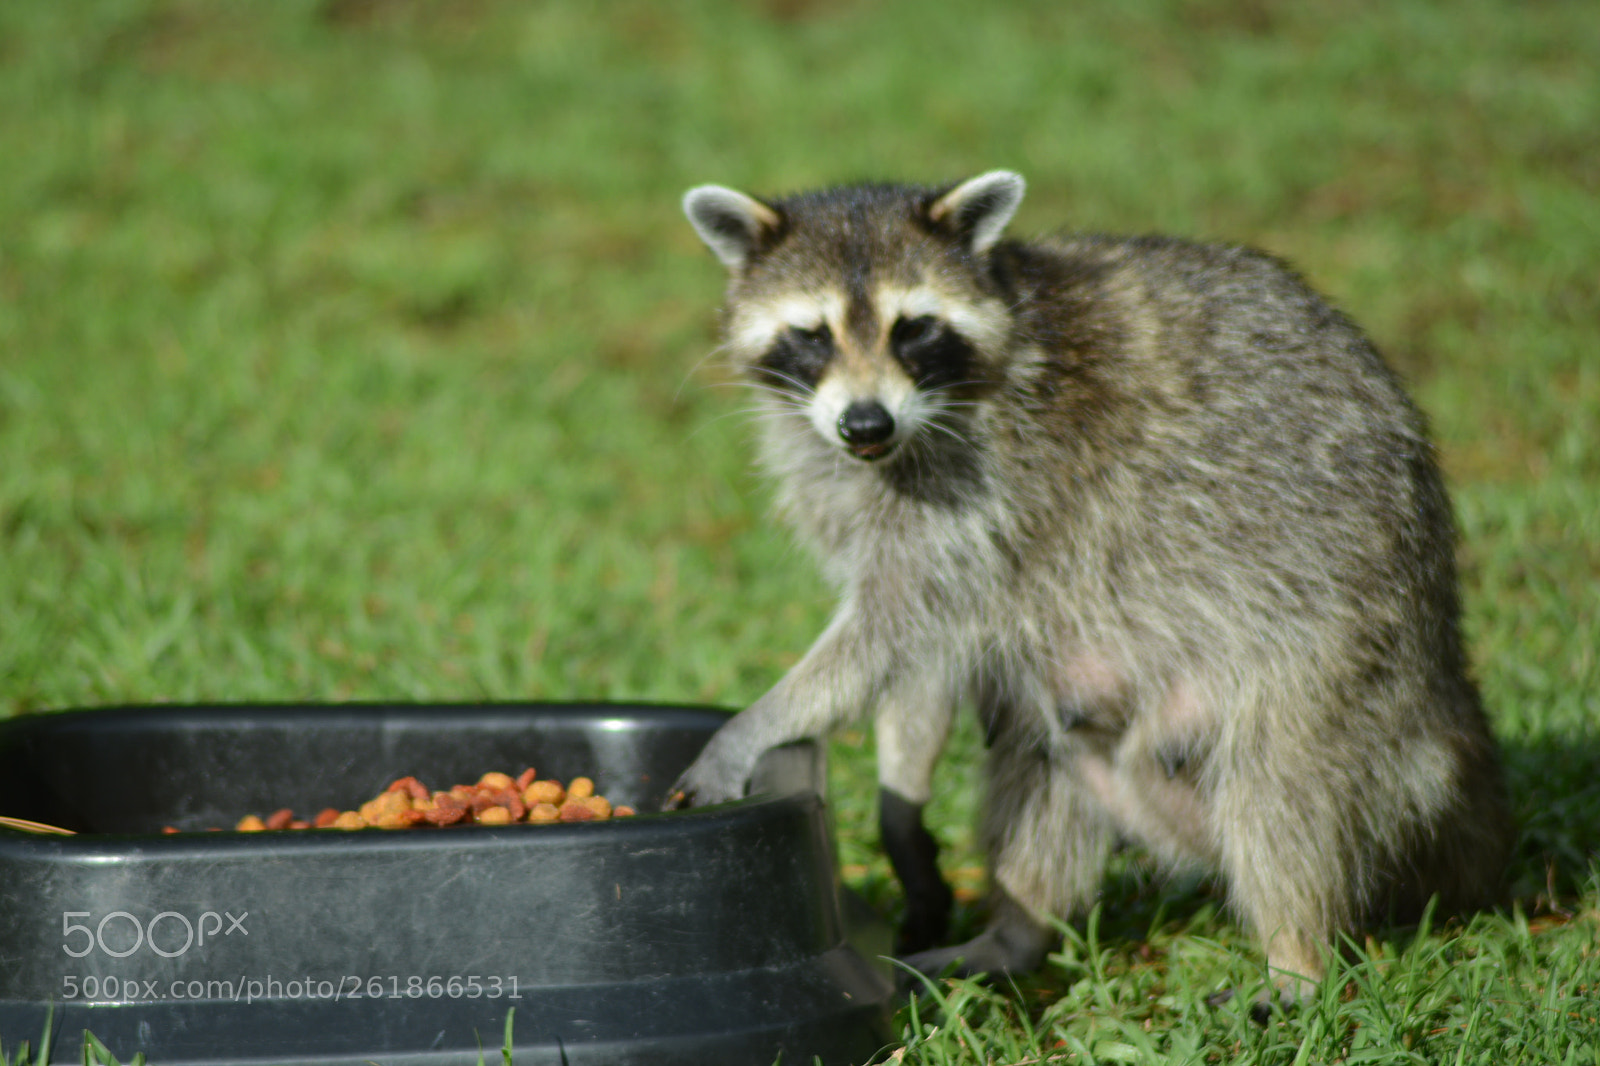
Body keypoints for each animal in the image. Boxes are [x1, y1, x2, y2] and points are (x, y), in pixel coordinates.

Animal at [665, 170, 1510, 992]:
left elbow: (893, 632)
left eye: (914, 330)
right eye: (812, 335)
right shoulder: (896, 509)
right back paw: (1014, 934)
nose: (866, 423)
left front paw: (753, 725)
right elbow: (923, 659)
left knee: (1283, 790)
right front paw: (899, 801)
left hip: (1347, 654)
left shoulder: (990, 492)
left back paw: (1296, 956)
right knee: (1041, 766)